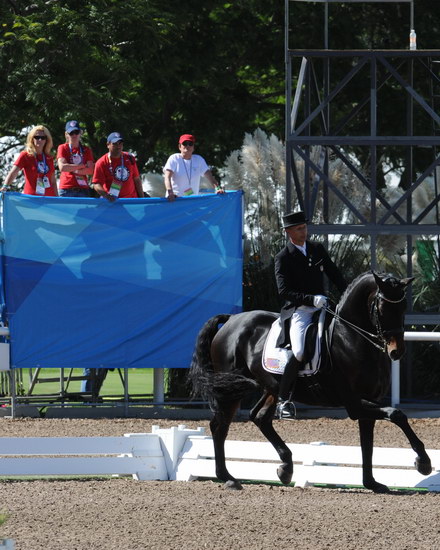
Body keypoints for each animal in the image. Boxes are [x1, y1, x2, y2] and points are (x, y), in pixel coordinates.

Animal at [187, 274, 432, 494]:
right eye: (381, 307)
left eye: (403, 308)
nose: (396, 351)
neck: (351, 339)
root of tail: (230, 320)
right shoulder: (353, 404)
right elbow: (397, 414)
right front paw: (424, 463)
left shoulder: (368, 403)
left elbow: (368, 444)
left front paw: (372, 483)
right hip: (230, 390)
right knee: (219, 428)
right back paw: (228, 478)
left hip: (271, 387)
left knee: (259, 417)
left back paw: (285, 468)